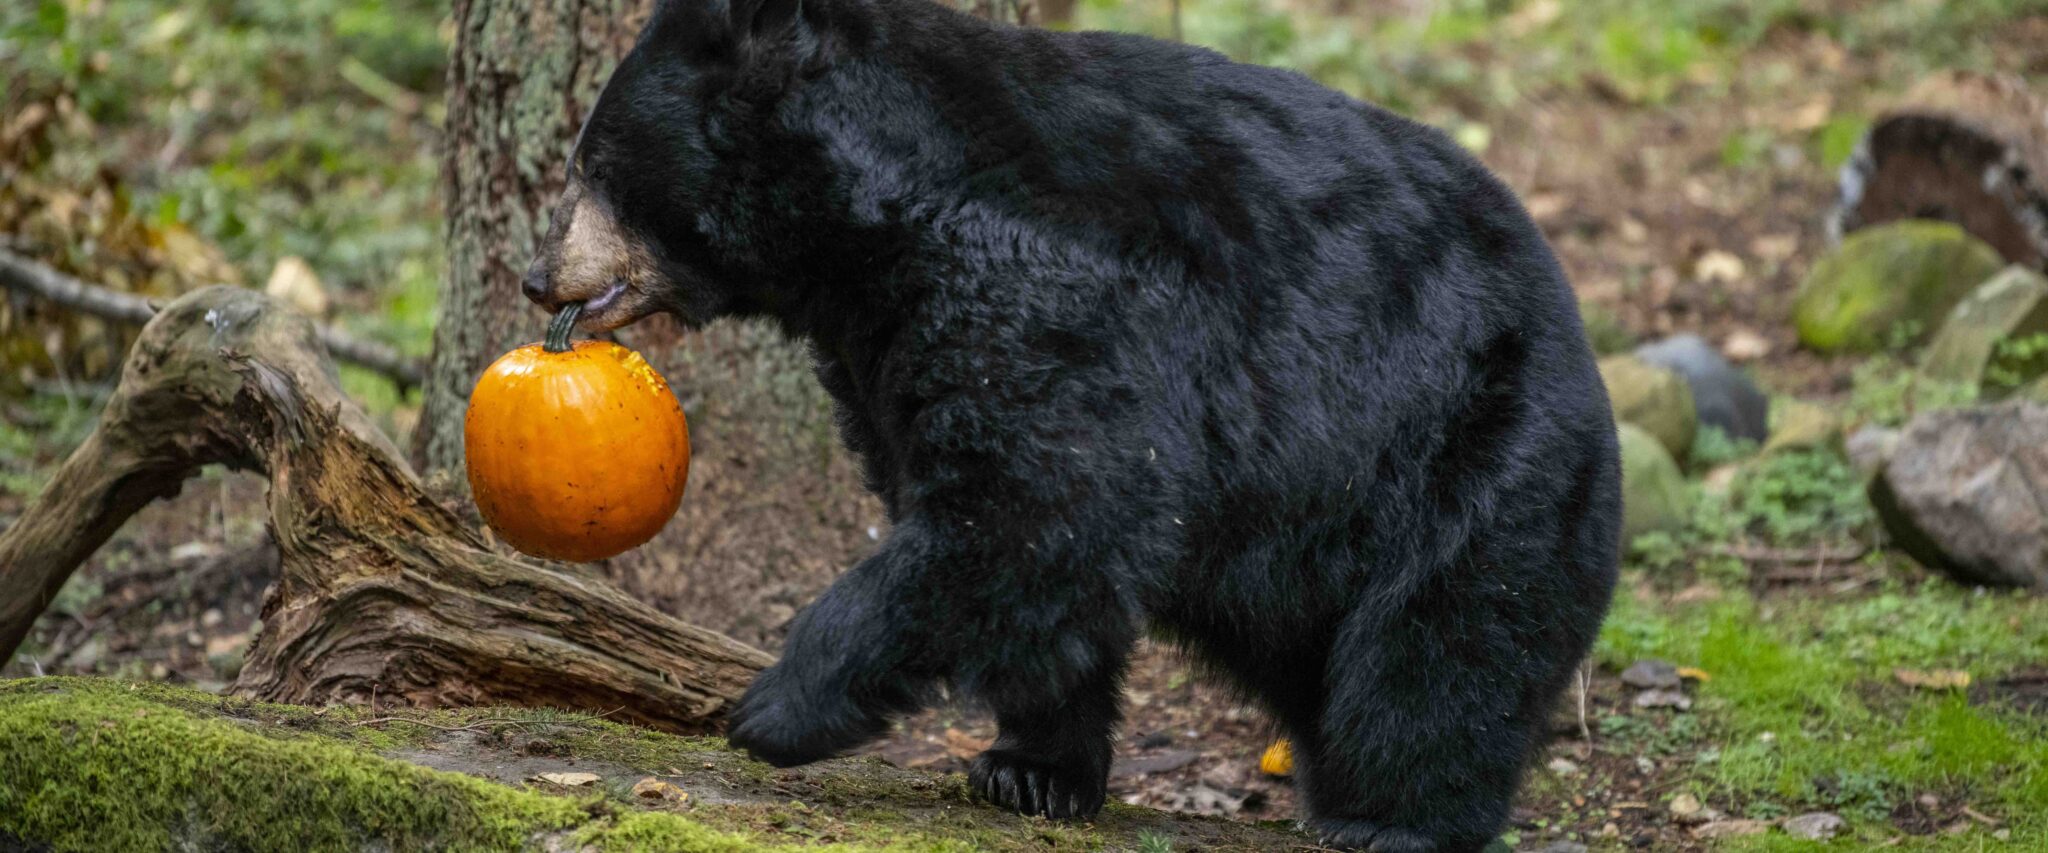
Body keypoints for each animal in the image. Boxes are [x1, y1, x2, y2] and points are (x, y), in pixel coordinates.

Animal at [519, 0, 1621, 849]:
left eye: (592, 164)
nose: (537, 275)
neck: (868, 229)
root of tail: (1576, 331)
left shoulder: (1049, 292)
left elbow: (1037, 505)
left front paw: (770, 705)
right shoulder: (886, 344)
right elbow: (1031, 555)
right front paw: (1031, 768)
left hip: (1465, 453)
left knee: (1441, 647)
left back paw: (1395, 815)